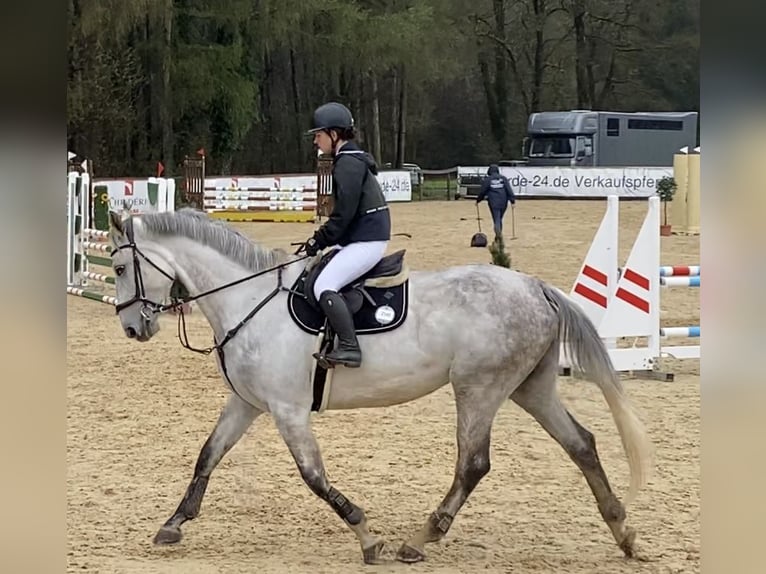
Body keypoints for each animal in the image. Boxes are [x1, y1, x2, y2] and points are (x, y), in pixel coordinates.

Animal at [106, 208, 656, 568]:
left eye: (118, 267)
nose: (132, 328)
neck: (249, 299)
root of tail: (535, 286)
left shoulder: (287, 410)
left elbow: (314, 477)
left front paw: (367, 538)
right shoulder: (247, 403)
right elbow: (208, 456)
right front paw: (174, 523)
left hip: (478, 388)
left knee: (473, 464)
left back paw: (421, 538)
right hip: (529, 388)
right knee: (581, 444)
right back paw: (623, 530)